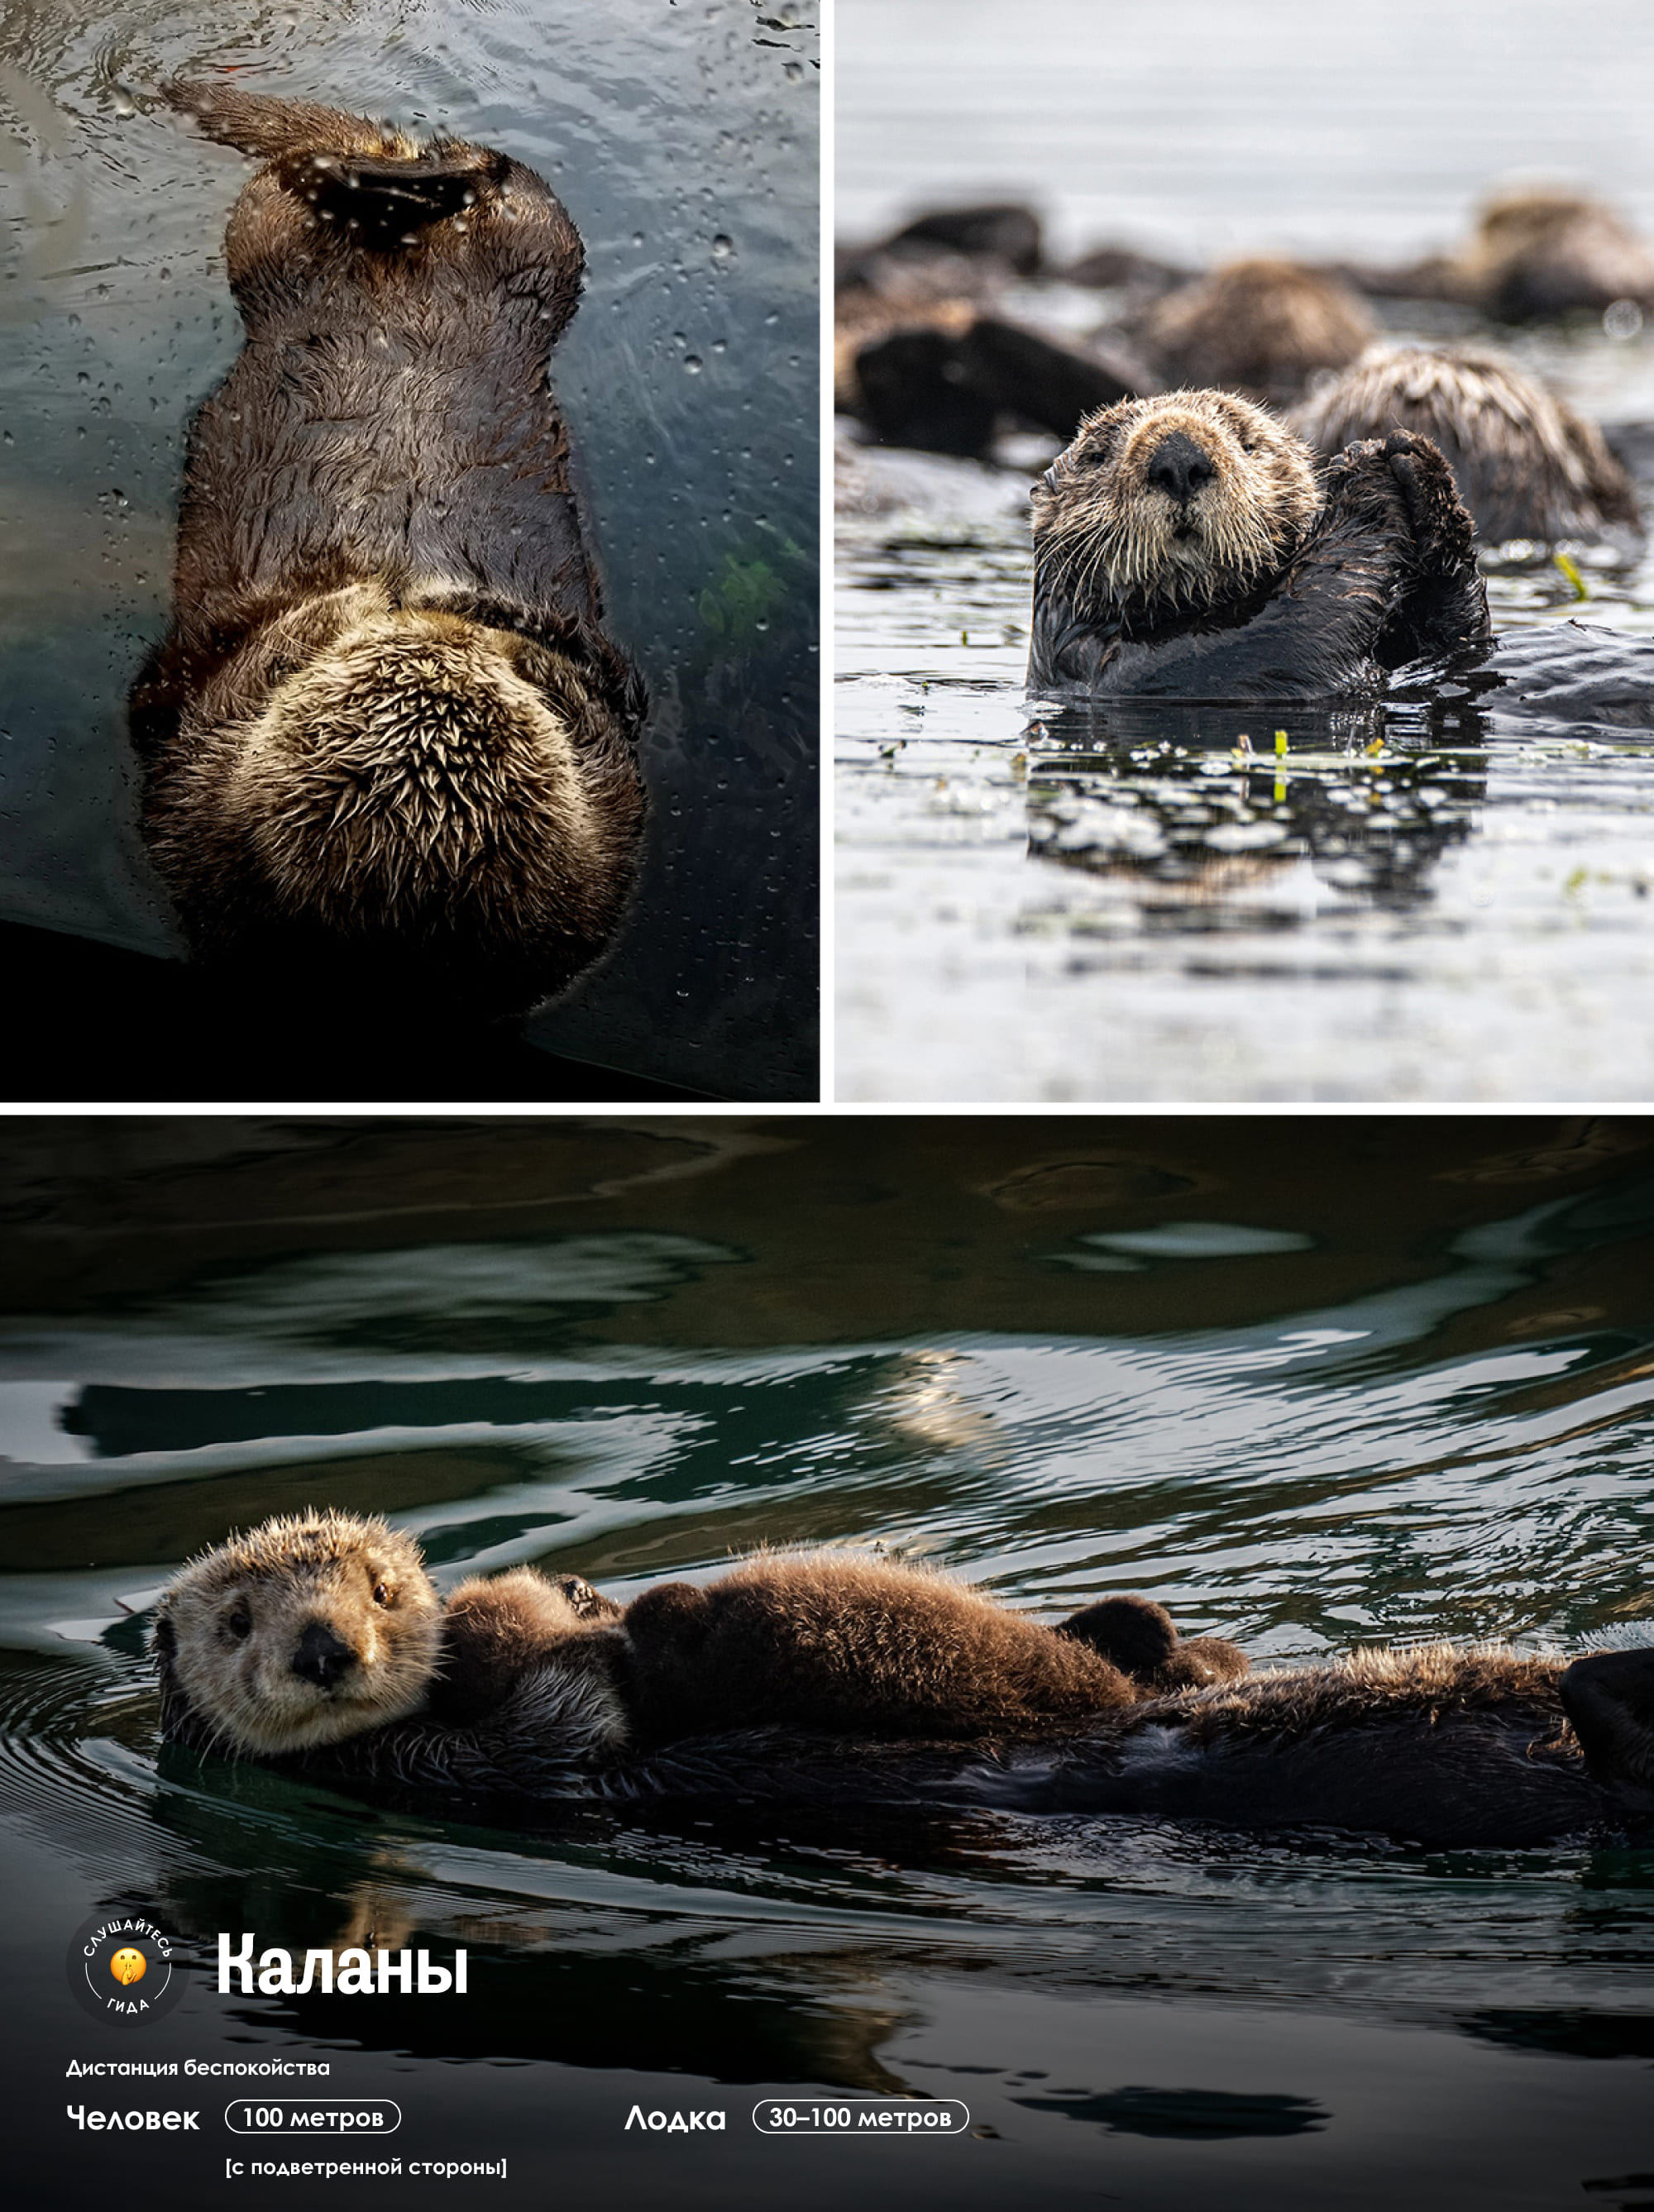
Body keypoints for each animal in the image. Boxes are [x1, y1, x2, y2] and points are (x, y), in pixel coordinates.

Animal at [1025, 389, 1494, 694]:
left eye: (1248, 443)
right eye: (1096, 456)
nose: (1178, 457)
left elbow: (1460, 643)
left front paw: (1419, 463)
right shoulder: (1125, 667)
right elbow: (1289, 627)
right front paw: (1362, 476)